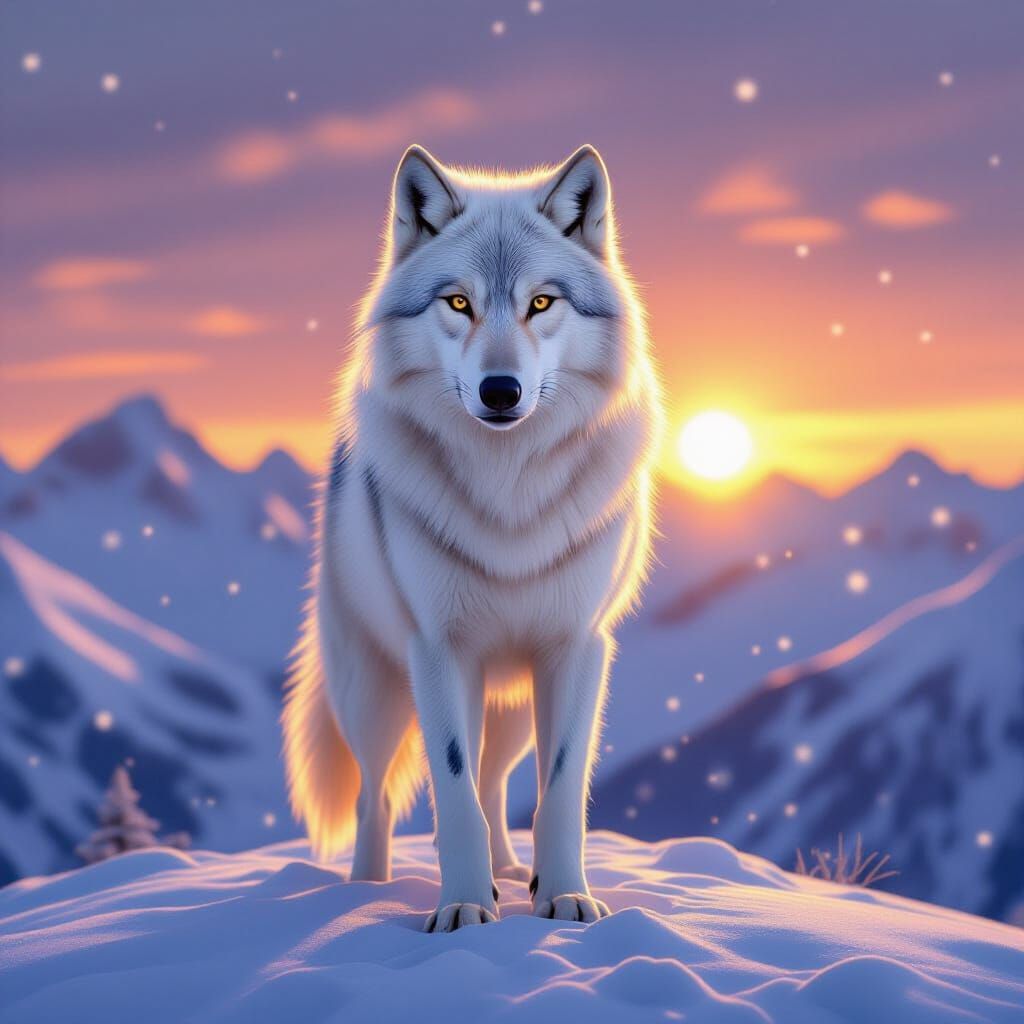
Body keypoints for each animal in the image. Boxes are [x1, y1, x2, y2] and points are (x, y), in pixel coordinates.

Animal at [283, 143, 662, 931]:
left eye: (541, 303)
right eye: (458, 303)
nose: (500, 391)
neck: (508, 496)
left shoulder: (576, 647)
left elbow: (558, 792)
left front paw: (564, 897)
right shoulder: (438, 649)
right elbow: (451, 788)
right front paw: (461, 906)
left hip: (510, 701)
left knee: (496, 781)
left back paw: (514, 871)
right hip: (377, 693)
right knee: (376, 795)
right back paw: (366, 888)